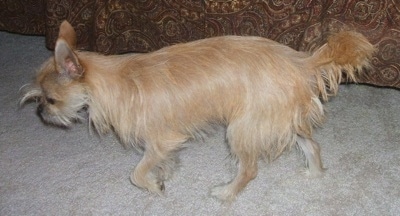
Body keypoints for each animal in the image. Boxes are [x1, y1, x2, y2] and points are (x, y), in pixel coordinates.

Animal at [19, 21, 376, 202]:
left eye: (50, 99)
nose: (39, 113)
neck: (116, 80)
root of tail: (299, 61)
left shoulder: (160, 141)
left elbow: (136, 174)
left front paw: (153, 187)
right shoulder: (161, 147)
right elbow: (159, 166)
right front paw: (162, 176)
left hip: (241, 129)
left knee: (250, 170)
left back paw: (226, 193)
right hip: (279, 119)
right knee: (311, 145)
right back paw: (314, 173)